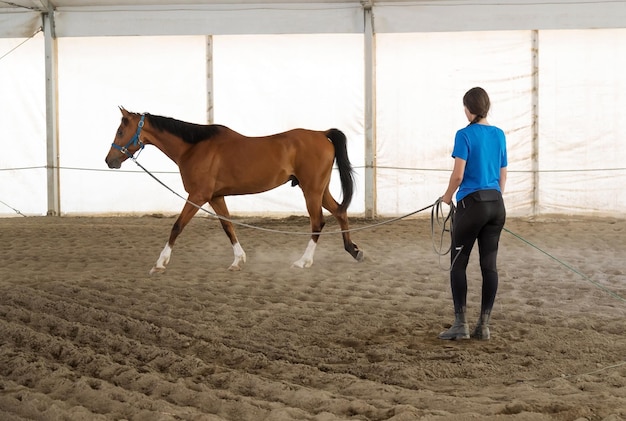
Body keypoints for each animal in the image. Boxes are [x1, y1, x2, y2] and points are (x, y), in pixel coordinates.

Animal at [105, 107, 364, 272]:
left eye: (120, 131)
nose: (109, 161)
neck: (193, 147)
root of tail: (321, 134)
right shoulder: (216, 197)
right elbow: (228, 226)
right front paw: (238, 261)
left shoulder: (197, 196)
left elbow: (177, 226)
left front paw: (160, 263)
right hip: (320, 190)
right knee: (340, 212)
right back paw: (354, 250)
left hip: (311, 191)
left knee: (318, 222)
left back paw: (303, 262)